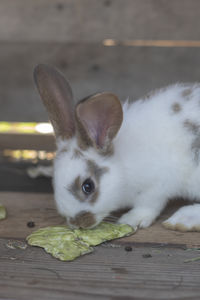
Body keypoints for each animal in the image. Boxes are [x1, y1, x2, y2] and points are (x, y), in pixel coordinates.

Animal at [33, 64, 200, 231]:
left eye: (88, 186)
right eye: (53, 182)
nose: (77, 223)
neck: (122, 164)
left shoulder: (157, 187)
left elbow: (148, 206)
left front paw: (131, 220)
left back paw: (183, 219)